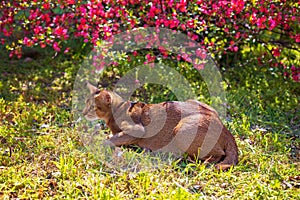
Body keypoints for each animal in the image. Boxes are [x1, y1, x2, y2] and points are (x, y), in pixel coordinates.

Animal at [82, 82, 239, 170]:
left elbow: (110, 139)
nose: (83, 112)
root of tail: (225, 129)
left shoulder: (138, 130)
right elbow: (112, 136)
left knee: (218, 154)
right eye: (86, 103)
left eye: (92, 107)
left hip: (181, 129)